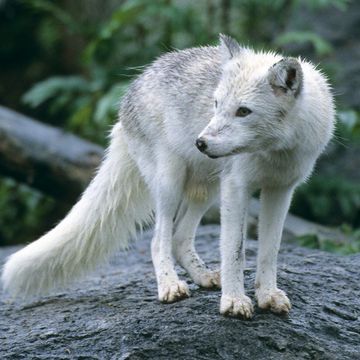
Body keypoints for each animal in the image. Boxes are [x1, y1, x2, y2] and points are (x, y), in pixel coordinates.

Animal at [2, 35, 334, 320]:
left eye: (243, 111)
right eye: (216, 105)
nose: (200, 143)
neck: (276, 151)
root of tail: (132, 89)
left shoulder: (280, 190)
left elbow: (270, 250)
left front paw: (267, 295)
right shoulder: (237, 187)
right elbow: (234, 251)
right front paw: (234, 302)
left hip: (206, 191)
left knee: (178, 238)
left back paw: (203, 277)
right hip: (171, 185)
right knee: (157, 239)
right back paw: (170, 287)